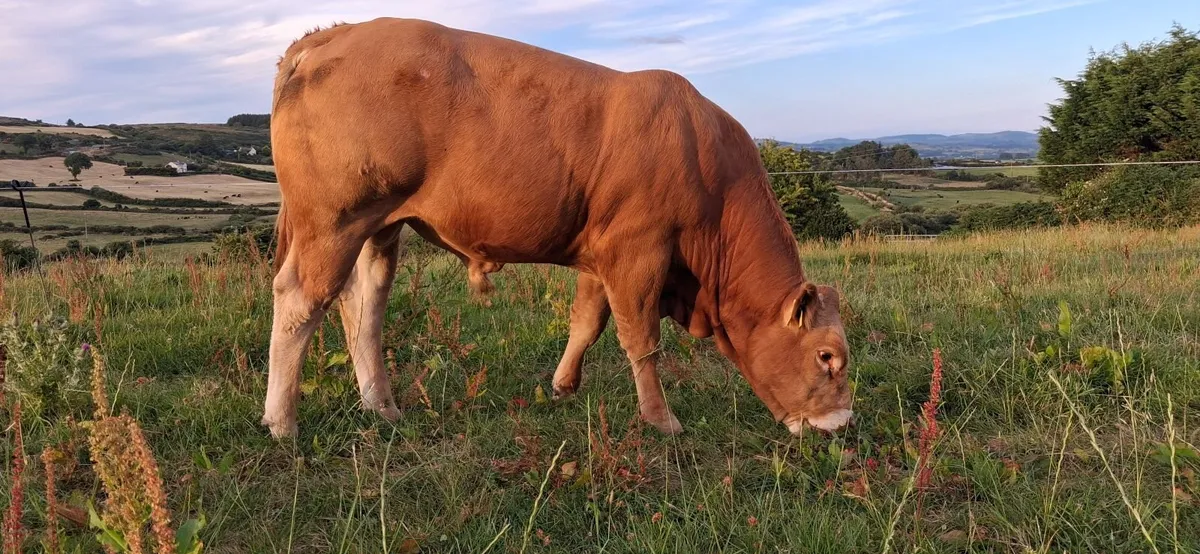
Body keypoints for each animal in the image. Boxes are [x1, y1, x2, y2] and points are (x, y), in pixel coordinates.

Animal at [263, 18, 853, 439]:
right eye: (827, 357)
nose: (842, 424)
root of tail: (335, 33)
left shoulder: (601, 253)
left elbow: (586, 324)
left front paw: (563, 386)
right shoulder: (638, 250)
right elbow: (641, 338)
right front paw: (661, 419)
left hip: (378, 226)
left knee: (363, 306)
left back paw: (382, 408)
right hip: (333, 220)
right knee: (299, 300)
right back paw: (282, 423)